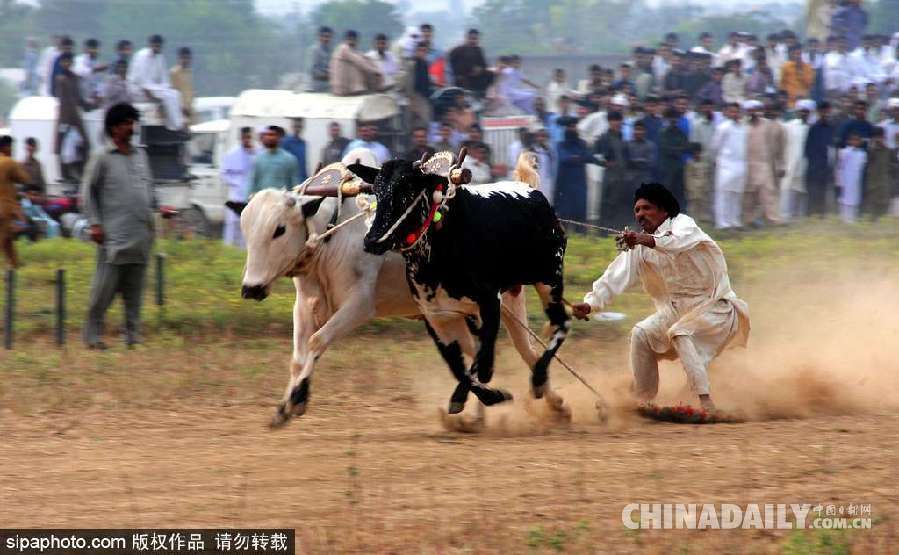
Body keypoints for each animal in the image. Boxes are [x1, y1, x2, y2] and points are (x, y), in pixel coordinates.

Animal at [352, 159, 568, 414]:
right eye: (377, 191)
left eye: (407, 192)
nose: (372, 240)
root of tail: (532, 191)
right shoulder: (437, 318)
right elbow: (458, 367)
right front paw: (490, 396)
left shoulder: (489, 301)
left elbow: (483, 356)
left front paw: (482, 384)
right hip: (514, 298)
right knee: (526, 349)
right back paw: (552, 399)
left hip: (549, 281)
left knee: (561, 324)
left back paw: (538, 381)